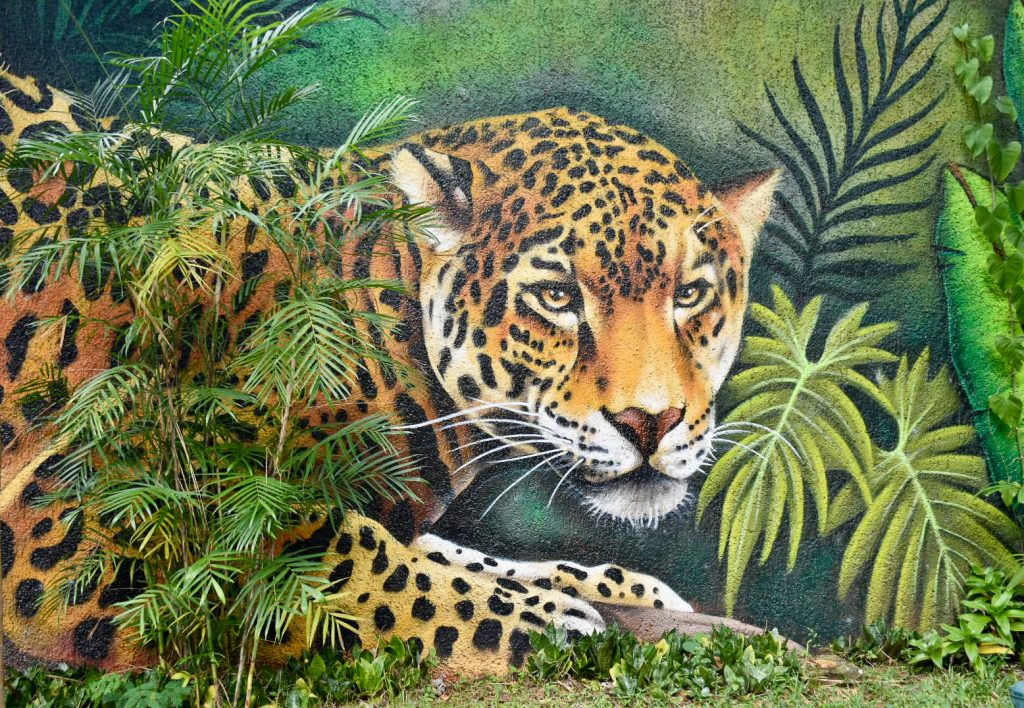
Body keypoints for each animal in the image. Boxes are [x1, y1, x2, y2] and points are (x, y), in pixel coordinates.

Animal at [0, 68, 778, 676]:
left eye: (690, 293)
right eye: (557, 297)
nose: (653, 421)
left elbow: (457, 554)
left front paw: (619, 587)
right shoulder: (91, 504)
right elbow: (350, 562)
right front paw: (546, 621)